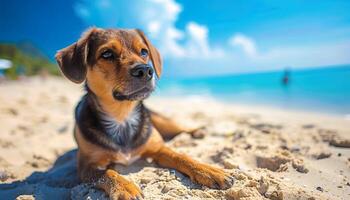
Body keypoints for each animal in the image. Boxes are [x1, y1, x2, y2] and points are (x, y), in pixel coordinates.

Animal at [56, 27, 234, 199]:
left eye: (143, 52)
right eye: (106, 54)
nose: (145, 70)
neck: (123, 117)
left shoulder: (159, 149)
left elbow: (182, 156)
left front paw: (209, 171)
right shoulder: (86, 167)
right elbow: (107, 173)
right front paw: (125, 188)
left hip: (159, 120)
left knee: (179, 128)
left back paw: (197, 132)